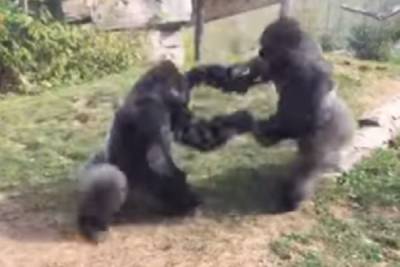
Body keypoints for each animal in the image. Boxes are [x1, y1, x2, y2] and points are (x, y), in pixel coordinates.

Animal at [77, 60, 253, 243]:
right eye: (183, 101)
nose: (187, 112)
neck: (151, 91)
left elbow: (196, 133)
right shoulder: (151, 112)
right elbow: (159, 164)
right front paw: (188, 201)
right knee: (109, 176)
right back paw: (92, 224)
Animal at [184, 17, 354, 213]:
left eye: (267, 45)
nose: (261, 52)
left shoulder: (307, 68)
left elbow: (311, 115)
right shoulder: (272, 66)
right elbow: (239, 82)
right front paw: (200, 73)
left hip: (335, 130)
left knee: (309, 161)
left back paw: (293, 196)